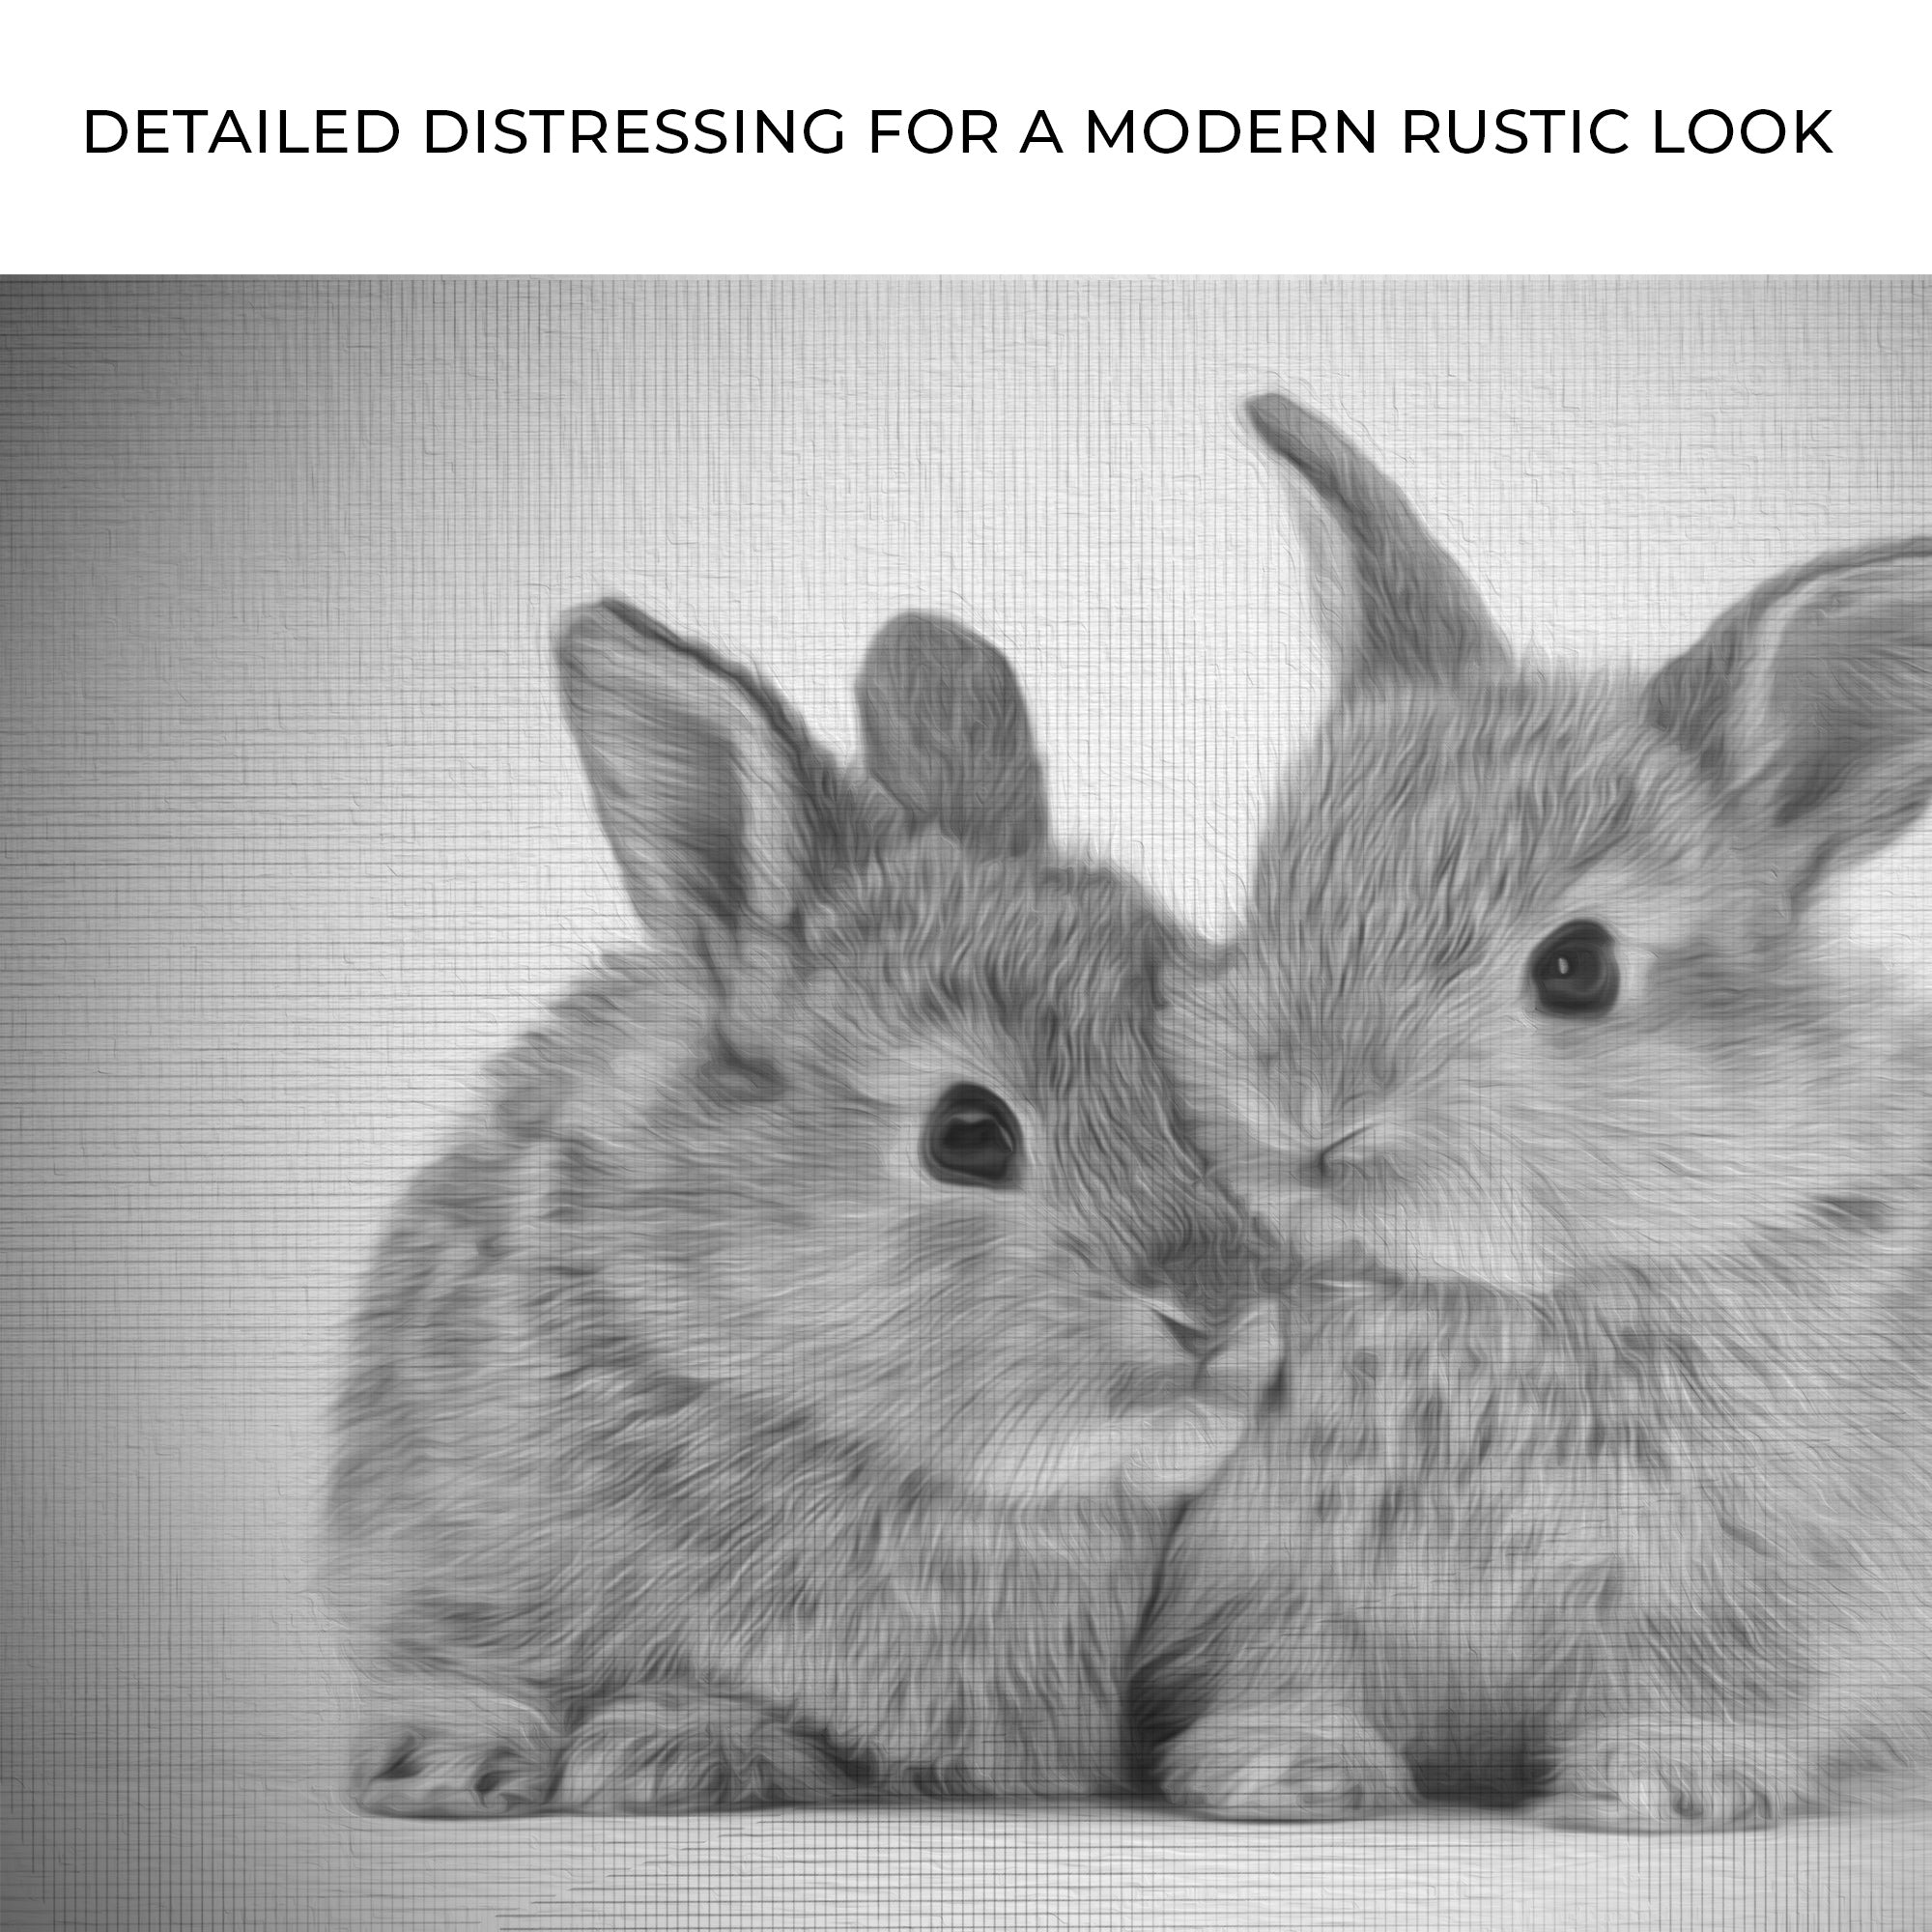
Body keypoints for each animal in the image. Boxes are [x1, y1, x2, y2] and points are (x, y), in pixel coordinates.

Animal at [1132, 395, 1932, 1832]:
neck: (1479, 1295)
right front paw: (1284, 1773)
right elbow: (1288, 1660)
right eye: (1277, 891)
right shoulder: (1262, 1562)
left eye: (1577, 968)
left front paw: (1672, 1784)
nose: (1312, 1098)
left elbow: (1695, 1673)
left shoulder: (1727, 1568)